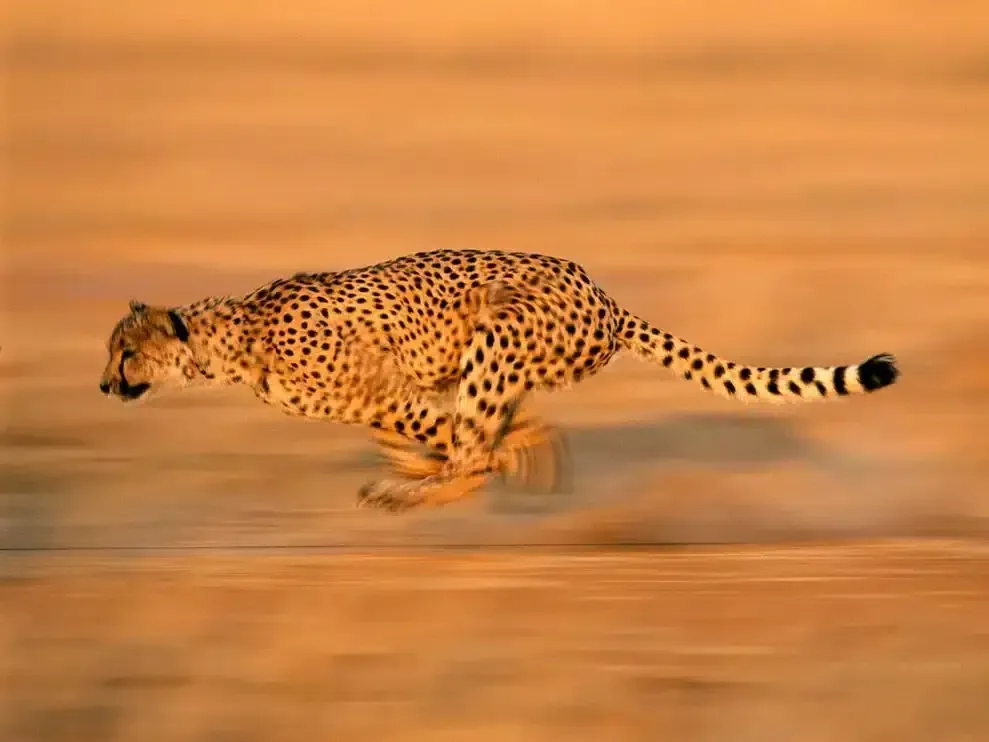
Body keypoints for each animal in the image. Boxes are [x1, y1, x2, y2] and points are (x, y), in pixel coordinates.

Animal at [99, 249, 899, 512]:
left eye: (124, 354)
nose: (105, 387)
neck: (231, 339)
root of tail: (603, 293)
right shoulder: (381, 398)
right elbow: (420, 436)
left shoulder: (386, 391)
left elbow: (454, 439)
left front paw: (463, 462)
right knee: (481, 440)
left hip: (498, 331)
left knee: (474, 450)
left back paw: (414, 491)